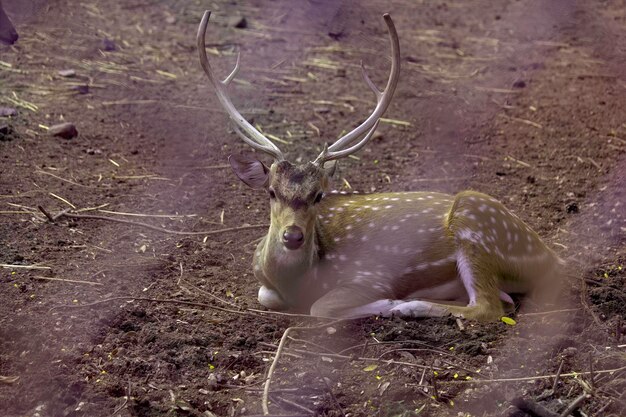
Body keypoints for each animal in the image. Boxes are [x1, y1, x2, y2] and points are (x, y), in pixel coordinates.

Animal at [195, 10, 560, 322]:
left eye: (318, 196)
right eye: (271, 191)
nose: (293, 235)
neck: (298, 281)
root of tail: (550, 258)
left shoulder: (369, 276)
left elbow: (321, 307)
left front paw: (387, 302)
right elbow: (266, 295)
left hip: (476, 225)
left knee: (488, 306)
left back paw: (409, 306)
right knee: (503, 301)